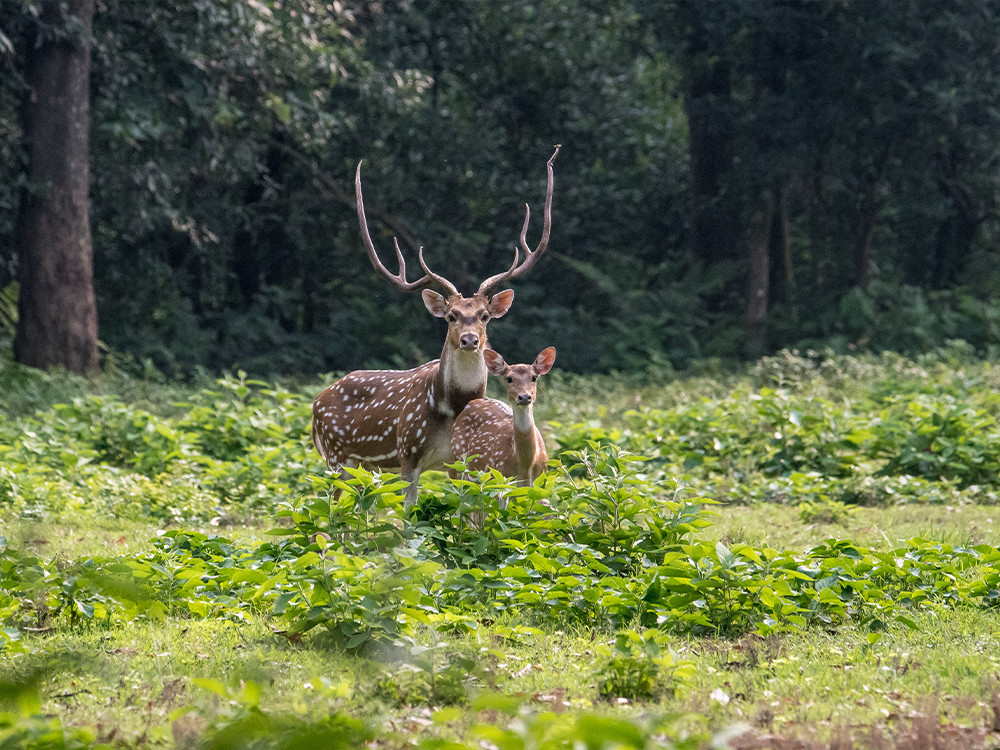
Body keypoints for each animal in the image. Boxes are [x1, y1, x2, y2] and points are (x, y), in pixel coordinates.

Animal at [452, 346, 560, 488]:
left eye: (534, 377)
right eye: (509, 378)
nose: (524, 397)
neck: (526, 464)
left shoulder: (540, 481)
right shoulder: (500, 477)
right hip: (458, 463)